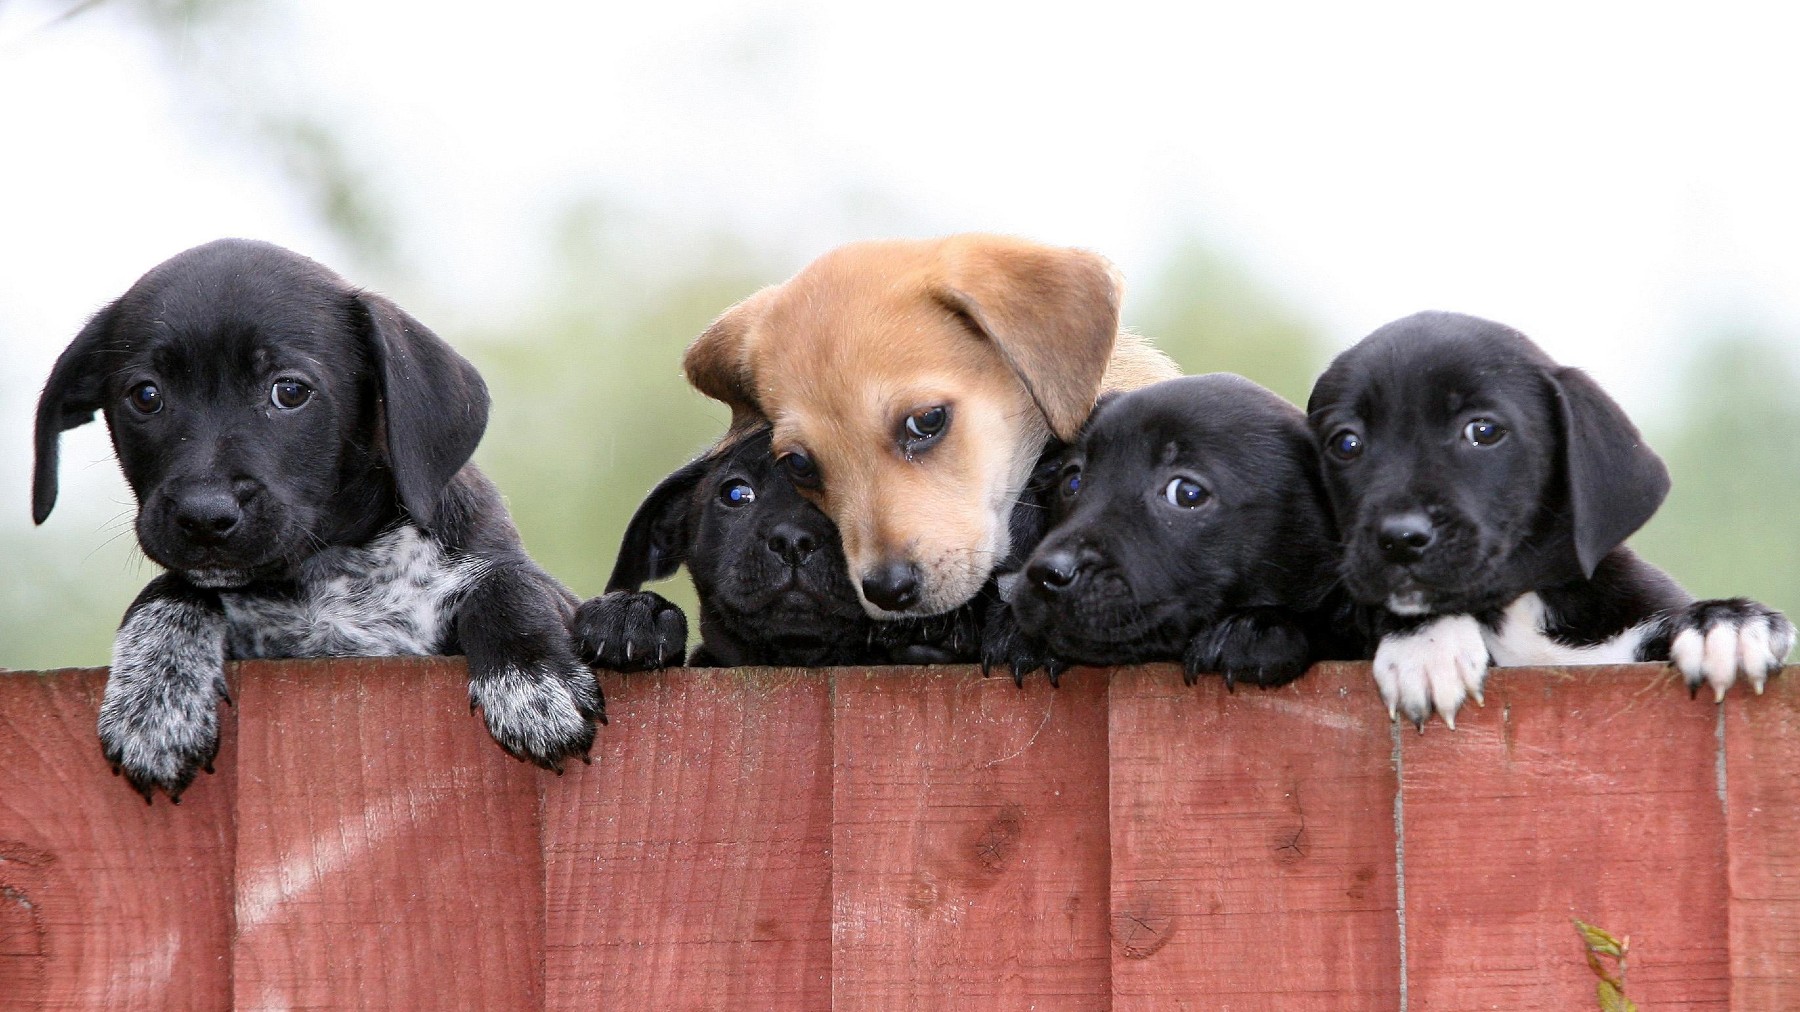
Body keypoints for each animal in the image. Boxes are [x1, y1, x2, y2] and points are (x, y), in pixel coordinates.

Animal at [31, 235, 604, 795]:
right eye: (146, 396)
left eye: (289, 391)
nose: (204, 515)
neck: (329, 573)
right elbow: (171, 588)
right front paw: (155, 699)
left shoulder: (537, 587)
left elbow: (508, 584)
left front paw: (532, 684)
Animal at [1310, 309, 1800, 723]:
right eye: (1346, 443)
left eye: (1483, 430)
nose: (1399, 539)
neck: (1522, 608)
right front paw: (1426, 645)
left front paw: (1727, 622)